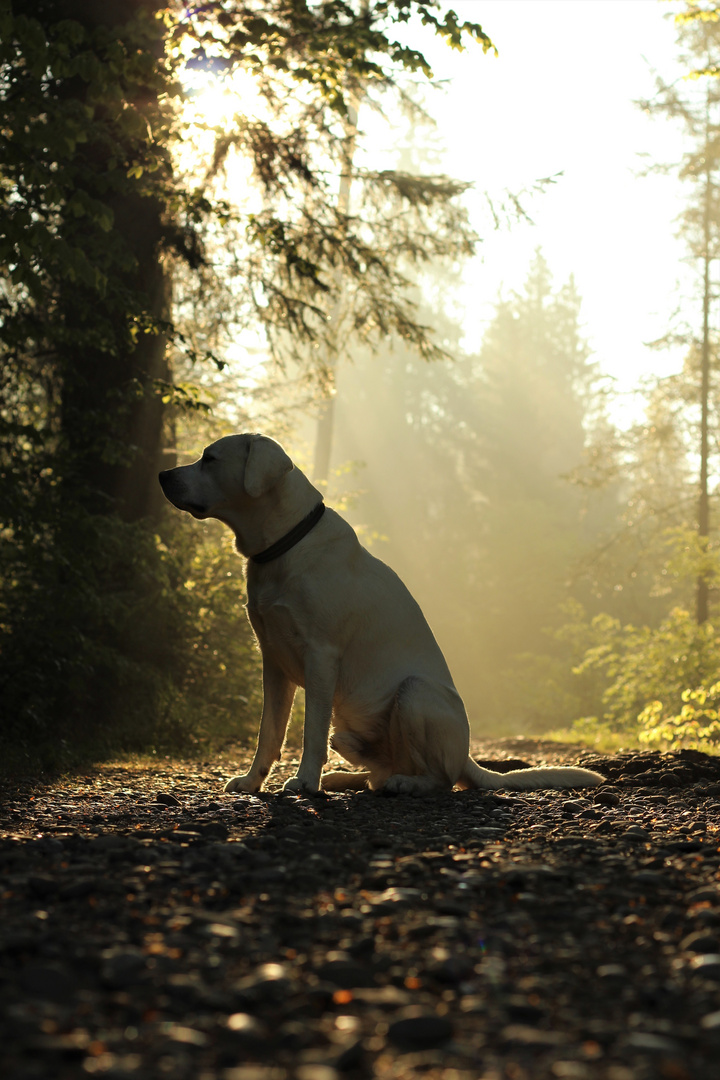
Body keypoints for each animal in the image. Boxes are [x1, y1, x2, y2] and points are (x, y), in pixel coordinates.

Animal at [160, 434, 604, 799]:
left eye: (209, 458)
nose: (163, 473)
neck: (285, 545)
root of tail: (468, 757)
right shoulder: (273, 662)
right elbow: (268, 733)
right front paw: (253, 782)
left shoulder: (321, 656)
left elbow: (309, 732)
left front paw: (304, 782)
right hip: (350, 728)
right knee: (376, 770)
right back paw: (345, 779)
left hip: (416, 692)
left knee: (439, 778)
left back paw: (404, 783)